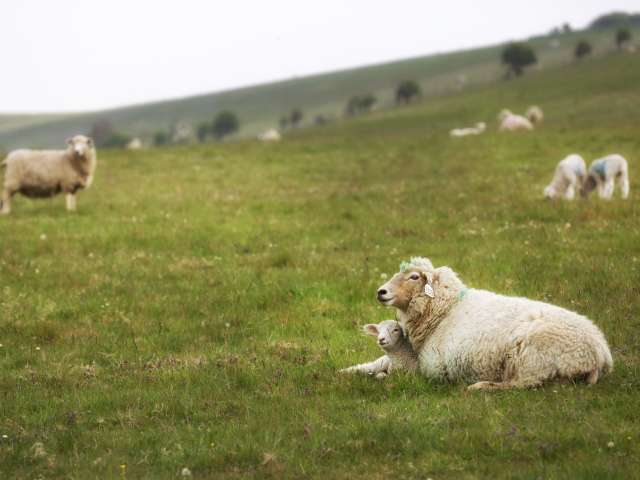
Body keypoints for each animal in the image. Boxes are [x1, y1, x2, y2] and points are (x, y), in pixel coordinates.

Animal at [376, 258, 616, 390]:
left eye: (414, 277)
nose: (381, 291)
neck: (445, 311)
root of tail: (600, 353)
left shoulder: (435, 370)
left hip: (534, 360)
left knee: (523, 384)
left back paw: (480, 386)